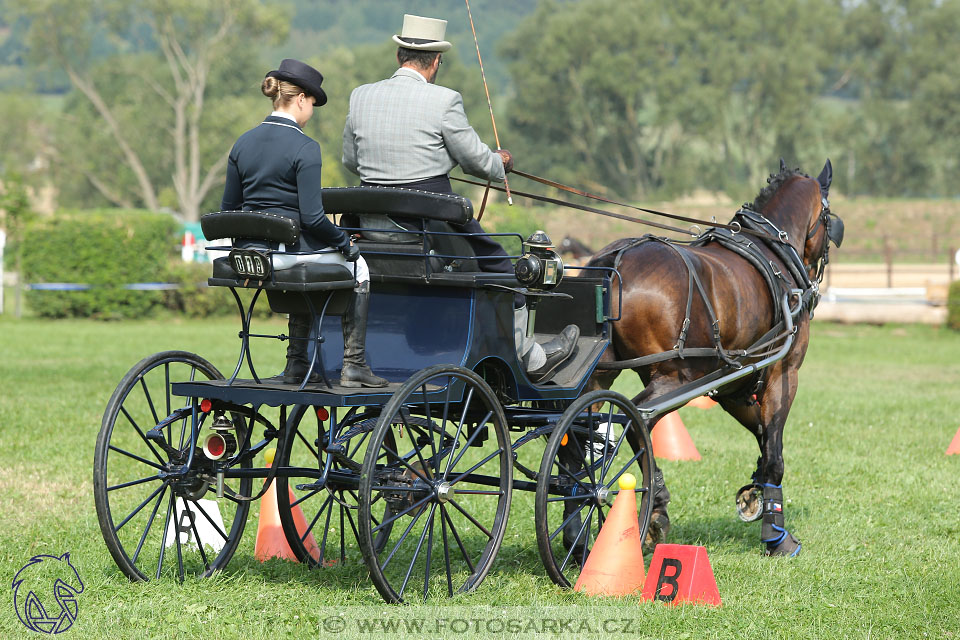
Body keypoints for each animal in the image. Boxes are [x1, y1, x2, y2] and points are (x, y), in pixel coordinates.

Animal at [584, 160, 840, 556]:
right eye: (829, 218)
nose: (816, 281)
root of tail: (617, 260)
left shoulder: (734, 383)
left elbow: (762, 436)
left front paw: (754, 494)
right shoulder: (783, 373)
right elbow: (775, 453)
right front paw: (776, 535)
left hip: (601, 373)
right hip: (674, 378)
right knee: (635, 419)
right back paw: (653, 509)